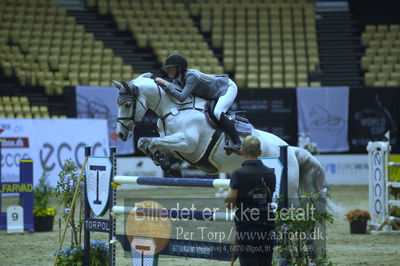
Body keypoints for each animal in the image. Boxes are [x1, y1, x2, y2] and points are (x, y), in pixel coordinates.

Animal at [115, 73, 340, 214]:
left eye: (127, 104)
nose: (120, 134)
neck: (174, 108)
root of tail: (290, 149)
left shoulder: (188, 143)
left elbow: (152, 141)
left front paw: (164, 162)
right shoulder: (178, 145)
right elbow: (147, 142)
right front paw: (167, 164)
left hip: (289, 190)